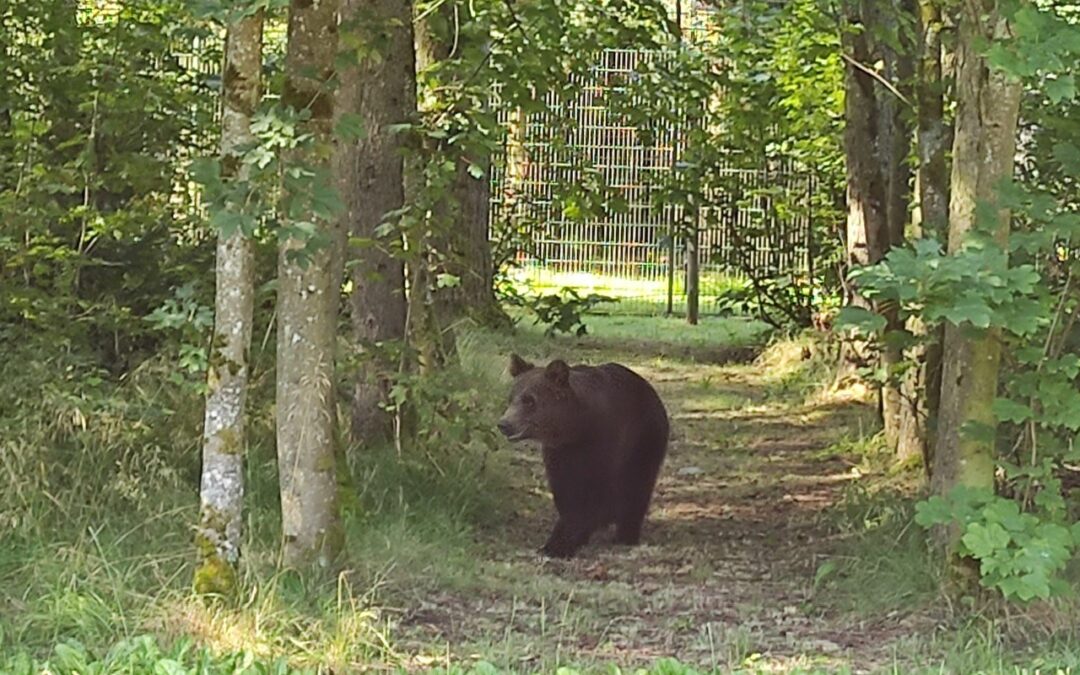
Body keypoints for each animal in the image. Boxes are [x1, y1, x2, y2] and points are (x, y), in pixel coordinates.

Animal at [497, 353, 670, 558]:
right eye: (510, 398)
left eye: (529, 400)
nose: (504, 424)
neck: (577, 428)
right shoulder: (560, 454)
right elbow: (566, 494)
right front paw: (555, 542)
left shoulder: (603, 444)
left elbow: (593, 495)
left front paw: (563, 543)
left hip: (645, 439)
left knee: (637, 486)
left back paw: (626, 534)